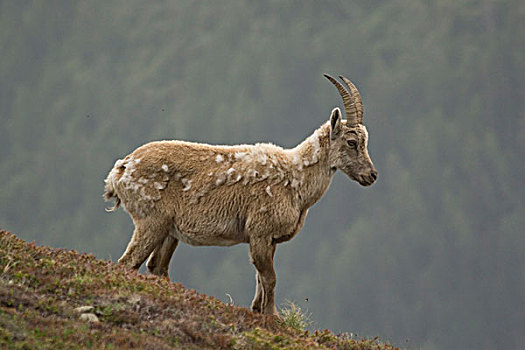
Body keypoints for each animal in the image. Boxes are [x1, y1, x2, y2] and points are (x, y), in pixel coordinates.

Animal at [104, 75, 374, 316]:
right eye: (352, 142)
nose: (371, 175)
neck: (296, 181)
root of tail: (121, 169)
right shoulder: (260, 231)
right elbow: (270, 278)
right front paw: (273, 317)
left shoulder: (269, 239)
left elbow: (261, 279)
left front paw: (258, 310)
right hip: (151, 222)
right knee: (128, 262)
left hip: (169, 231)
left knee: (156, 266)